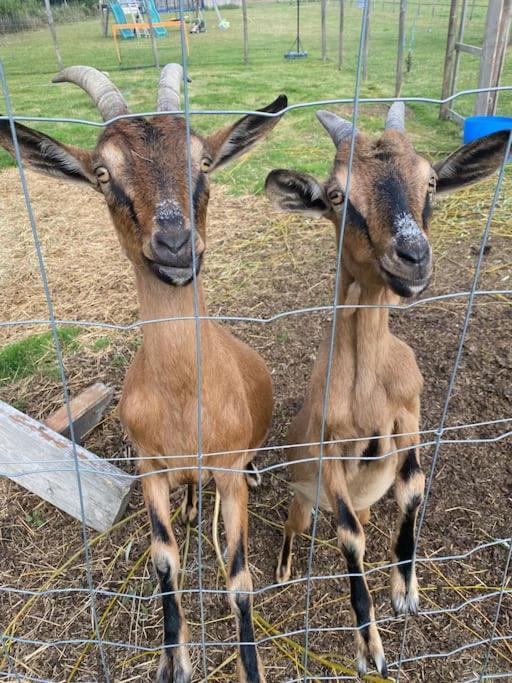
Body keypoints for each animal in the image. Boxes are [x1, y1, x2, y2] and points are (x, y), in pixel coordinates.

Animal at [0, 64, 288, 683]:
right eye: (103, 172)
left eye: (203, 162)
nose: (175, 244)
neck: (183, 401)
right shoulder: (150, 468)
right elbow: (164, 562)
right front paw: (173, 661)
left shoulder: (226, 474)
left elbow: (239, 579)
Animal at [264, 104, 508, 676]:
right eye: (336, 195)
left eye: (431, 181)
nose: (413, 257)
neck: (368, 391)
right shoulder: (330, 451)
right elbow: (349, 538)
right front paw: (370, 649)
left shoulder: (411, 416)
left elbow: (414, 489)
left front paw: (406, 592)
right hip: (302, 499)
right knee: (294, 526)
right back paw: (283, 568)